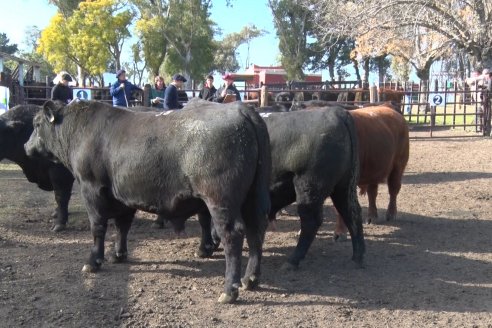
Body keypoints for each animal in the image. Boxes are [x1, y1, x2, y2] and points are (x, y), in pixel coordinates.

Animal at [24, 98, 272, 304]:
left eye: (36, 124)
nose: (26, 147)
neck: (81, 130)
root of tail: (240, 109)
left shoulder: (91, 188)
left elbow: (98, 227)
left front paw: (94, 261)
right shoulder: (122, 196)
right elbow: (122, 226)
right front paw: (119, 254)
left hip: (220, 200)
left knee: (233, 235)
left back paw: (229, 290)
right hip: (253, 198)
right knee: (256, 230)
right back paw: (250, 279)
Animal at [334, 104, 412, 240]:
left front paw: (341, 232)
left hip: (398, 166)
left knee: (393, 189)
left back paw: (391, 213)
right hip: (374, 170)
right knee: (372, 193)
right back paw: (372, 216)